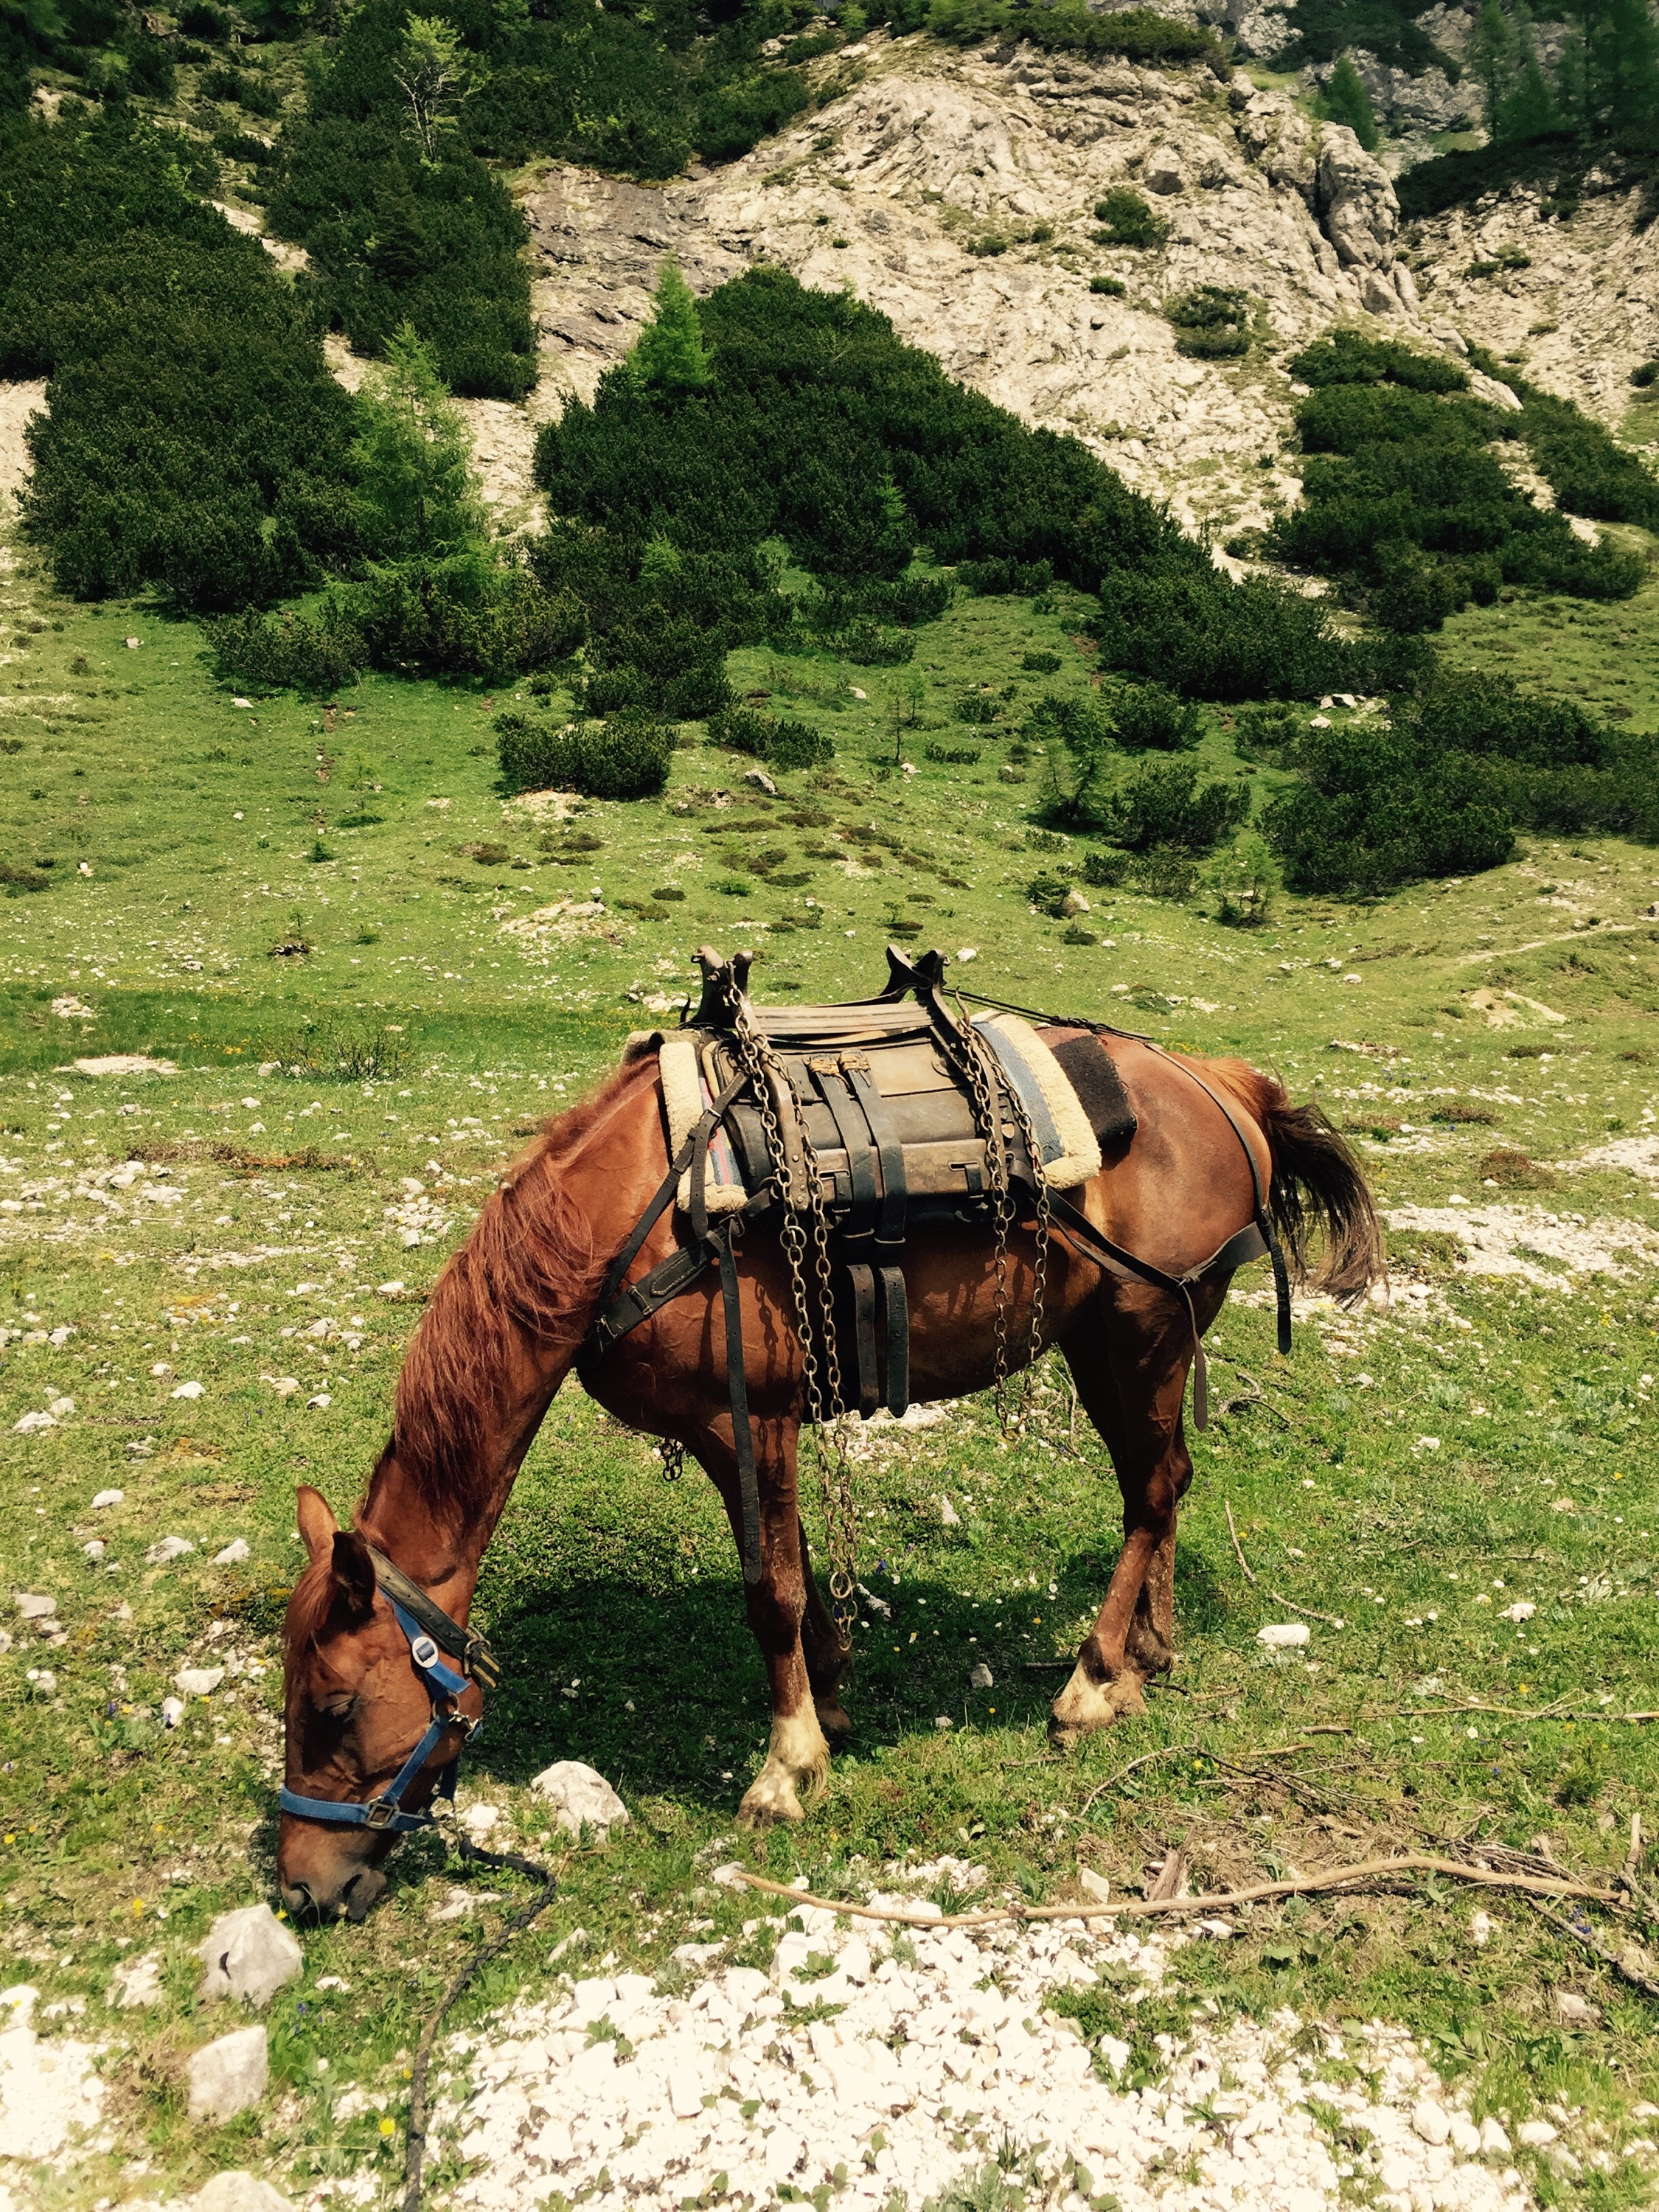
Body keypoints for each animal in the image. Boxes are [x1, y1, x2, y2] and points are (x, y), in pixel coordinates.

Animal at [279, 1031, 1380, 1920]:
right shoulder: (745, 1431)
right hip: (1136, 1342)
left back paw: (1093, 1683)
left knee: (1150, 1494)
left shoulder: (745, 1420)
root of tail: (1218, 1081)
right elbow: (798, 1572)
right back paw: (1148, 1654)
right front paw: (833, 1700)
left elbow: (768, 1591)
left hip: (1139, 1336)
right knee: (1166, 1482)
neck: (629, 1216)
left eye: (333, 1706)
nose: (300, 1887)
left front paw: (785, 1766)